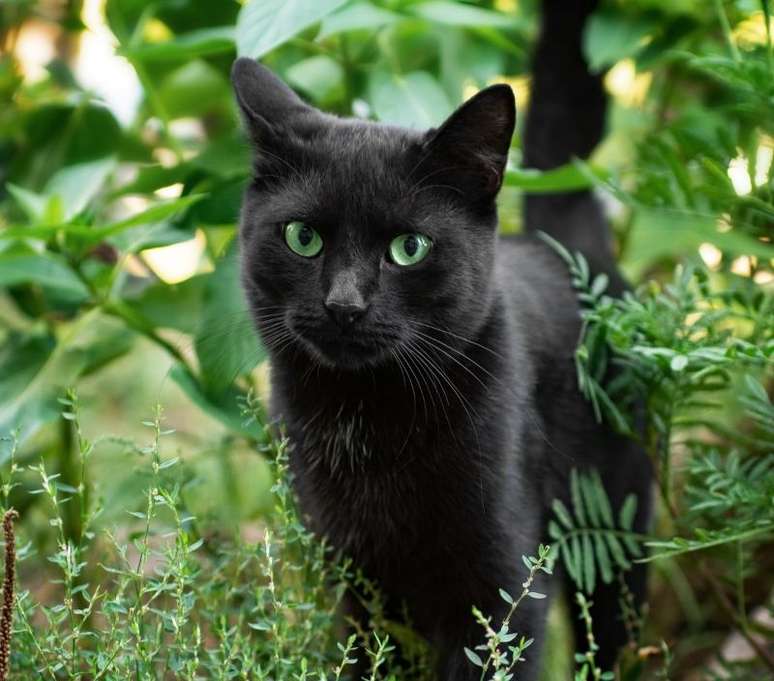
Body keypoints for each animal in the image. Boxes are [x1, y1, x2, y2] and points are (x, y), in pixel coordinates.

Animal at [233, 2, 652, 676]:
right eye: (303, 238)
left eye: (410, 247)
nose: (344, 305)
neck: (367, 420)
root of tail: (567, 251)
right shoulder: (359, 586)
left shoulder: (502, 585)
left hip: (616, 528)